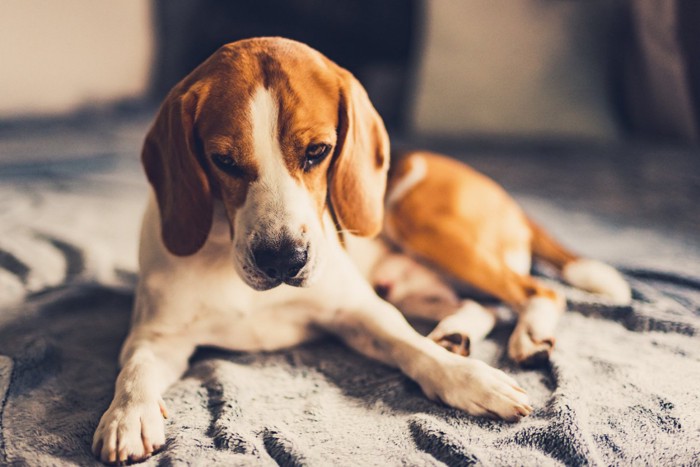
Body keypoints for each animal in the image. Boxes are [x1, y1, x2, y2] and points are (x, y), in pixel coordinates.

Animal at [90, 37, 632, 464]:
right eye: (222, 160)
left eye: (318, 152)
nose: (283, 260)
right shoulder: (157, 336)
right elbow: (136, 368)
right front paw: (128, 416)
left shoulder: (360, 312)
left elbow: (410, 347)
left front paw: (472, 380)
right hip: (412, 284)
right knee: (483, 306)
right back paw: (455, 334)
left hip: (420, 219)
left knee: (537, 291)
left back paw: (521, 336)